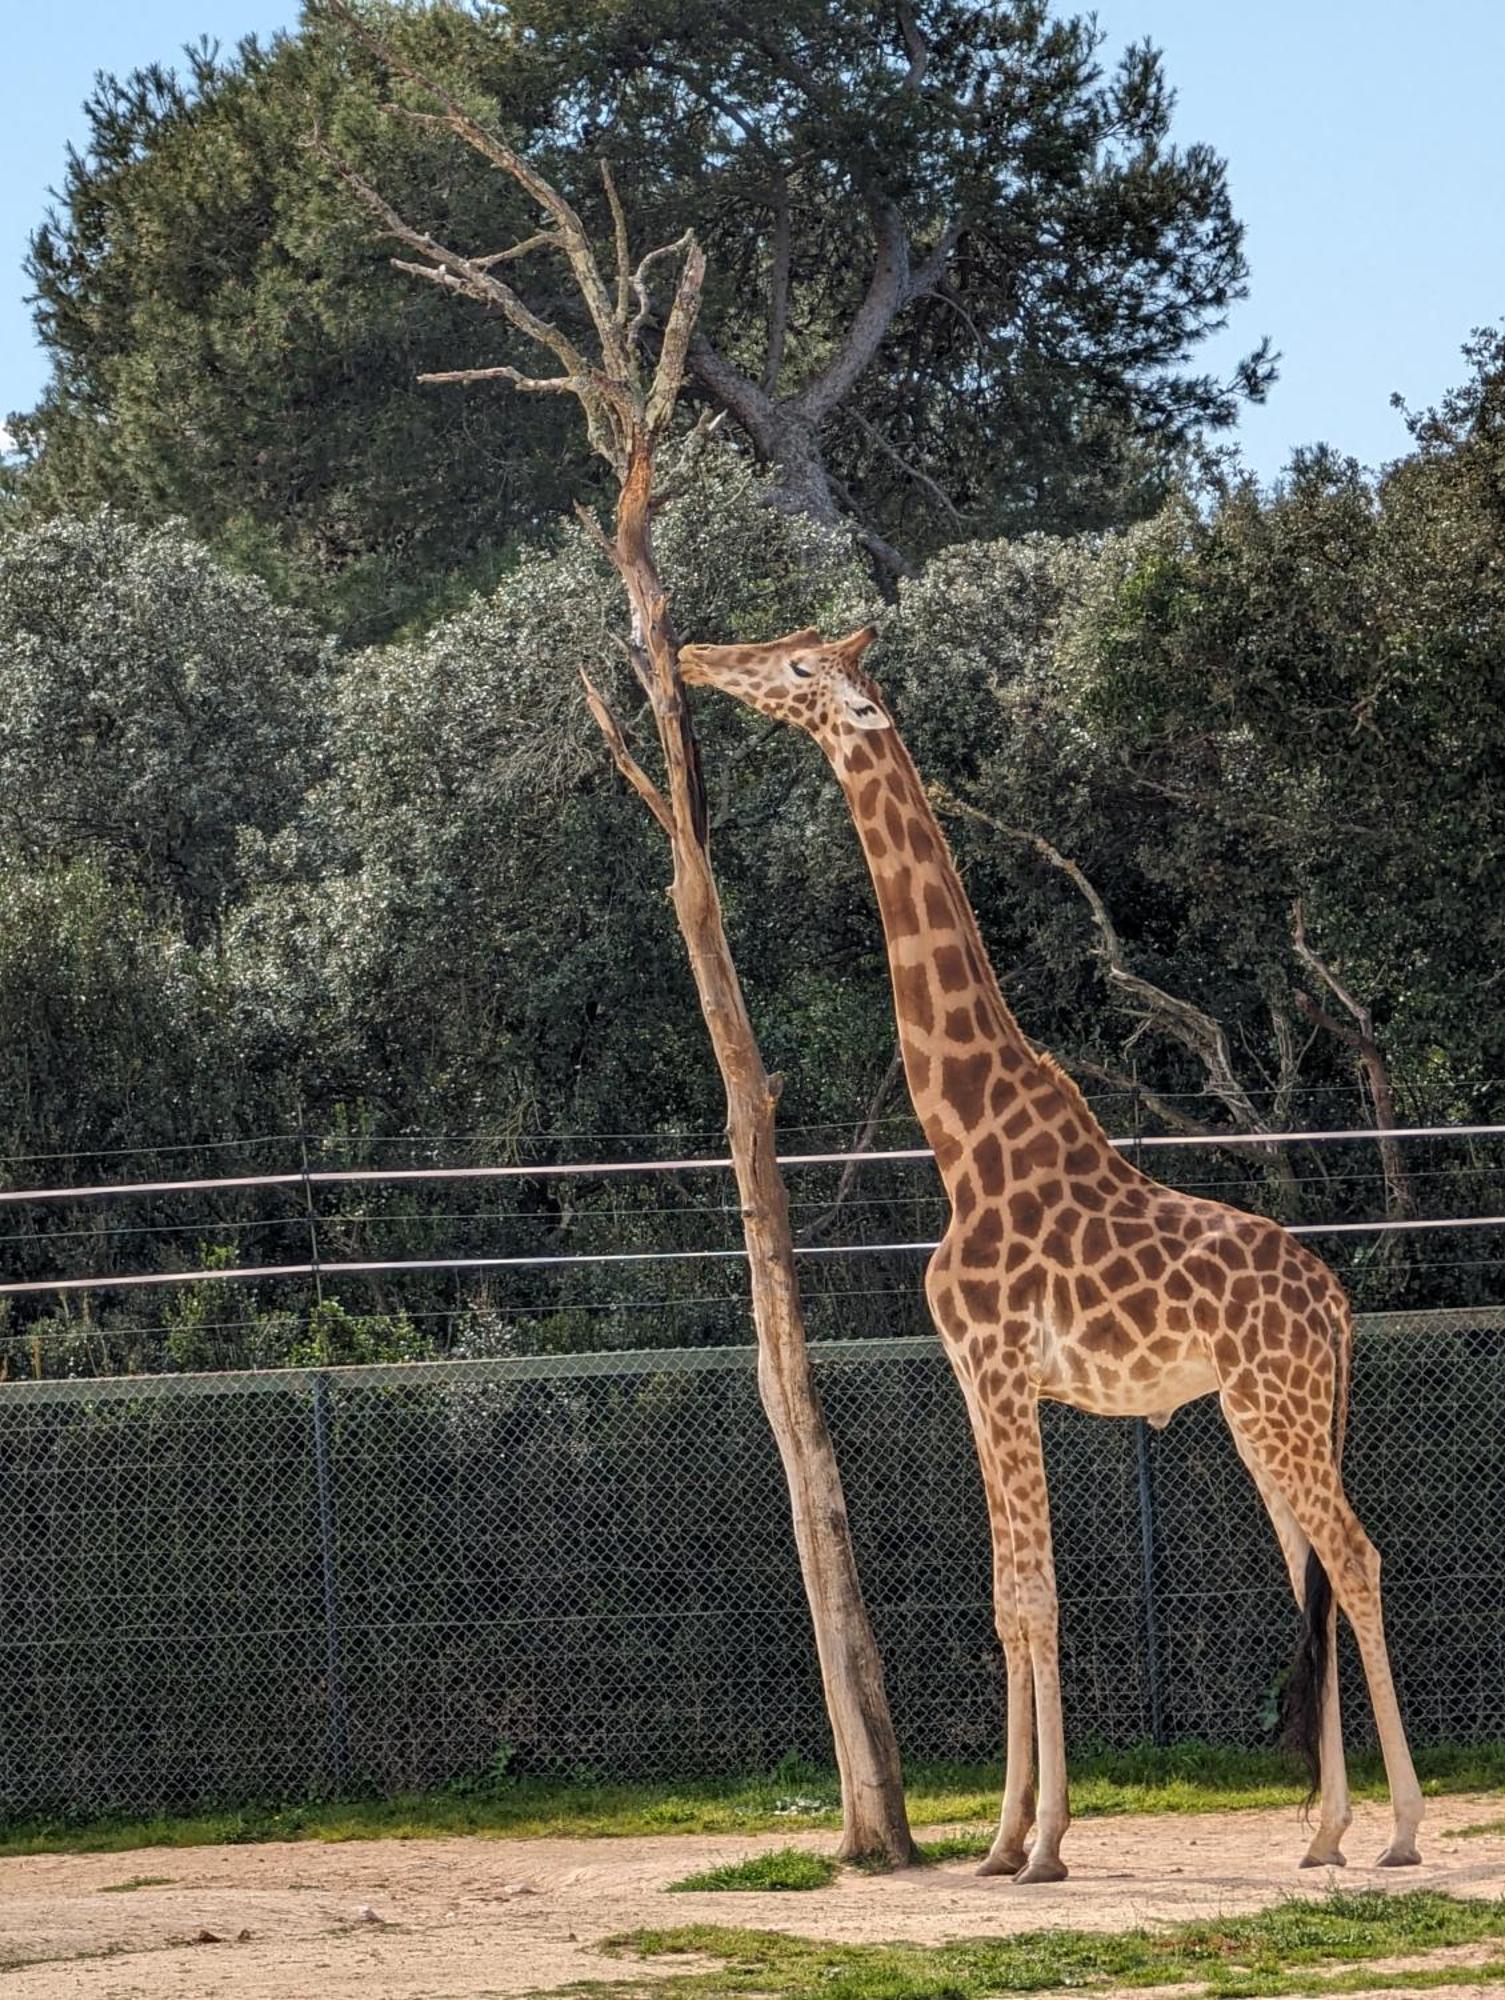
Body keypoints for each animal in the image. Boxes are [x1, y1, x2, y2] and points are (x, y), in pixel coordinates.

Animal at [680, 624, 1424, 1888]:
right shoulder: (977, 1379)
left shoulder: (999, 1369)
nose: (689, 652)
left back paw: (1403, 1830)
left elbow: (1031, 1593)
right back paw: (1323, 1830)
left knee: (1356, 1555)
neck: (960, 1135)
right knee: (1310, 1569)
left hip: (1273, 1404)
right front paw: (1003, 1837)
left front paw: (1036, 1843)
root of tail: (1334, 1302)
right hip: (1263, 1411)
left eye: (796, 669)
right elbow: (1002, 1595)